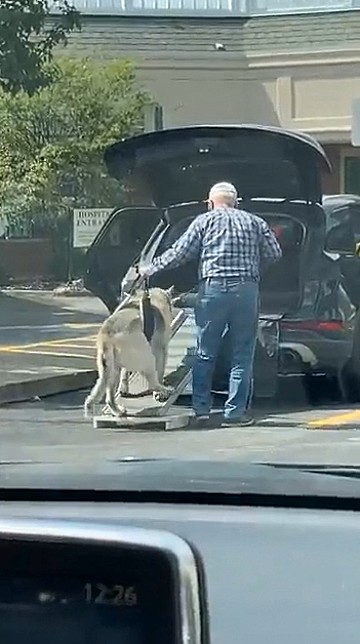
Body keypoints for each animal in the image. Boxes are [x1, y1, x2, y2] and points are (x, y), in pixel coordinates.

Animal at [84, 286, 174, 418]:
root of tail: (107, 337)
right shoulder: (161, 350)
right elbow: (160, 371)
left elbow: (125, 373)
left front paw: (124, 388)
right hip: (147, 357)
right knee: (152, 382)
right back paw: (164, 389)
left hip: (110, 369)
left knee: (109, 398)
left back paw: (118, 411)